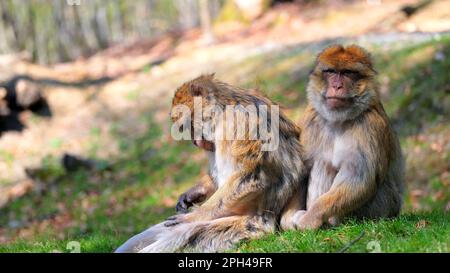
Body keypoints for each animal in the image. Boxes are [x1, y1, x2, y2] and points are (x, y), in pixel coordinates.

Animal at [114, 74, 308, 251]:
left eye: (188, 127)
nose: (194, 142)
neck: (225, 107)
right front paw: (192, 194)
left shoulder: (239, 122)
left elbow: (252, 177)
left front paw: (194, 216)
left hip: (247, 224)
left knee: (186, 234)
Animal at [282, 44, 404, 230]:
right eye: (331, 72)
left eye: (347, 73)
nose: (337, 86)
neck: (339, 120)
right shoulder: (310, 120)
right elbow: (301, 171)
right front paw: (288, 219)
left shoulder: (369, 126)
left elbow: (358, 177)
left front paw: (311, 217)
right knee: (322, 163)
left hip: (383, 207)